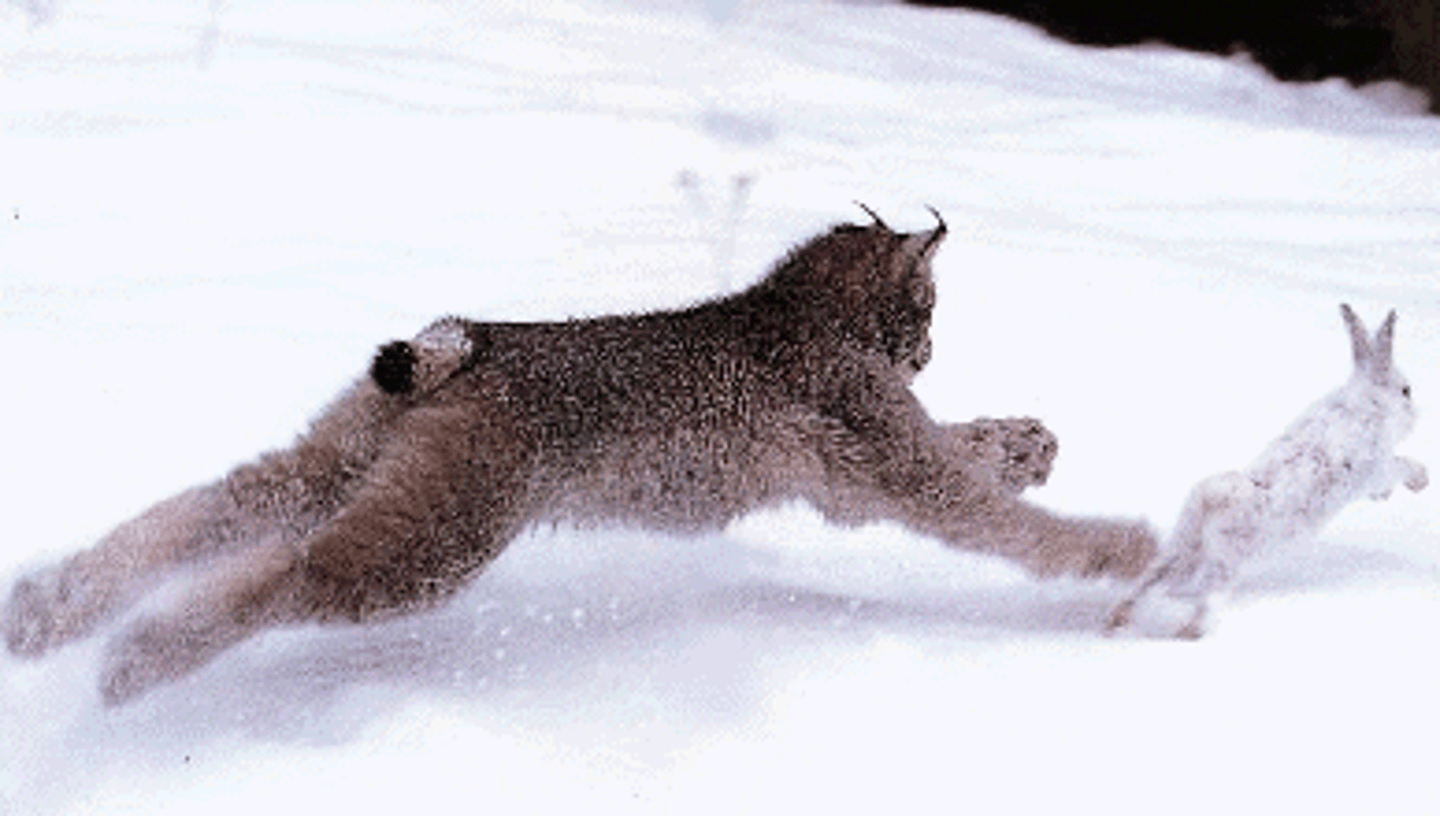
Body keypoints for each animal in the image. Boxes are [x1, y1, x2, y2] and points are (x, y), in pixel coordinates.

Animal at [3, 208, 1158, 704]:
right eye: (927, 310)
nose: (927, 353)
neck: (800, 303)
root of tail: (476, 337)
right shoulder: (890, 465)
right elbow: (1001, 520)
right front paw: (1122, 551)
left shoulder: (863, 469)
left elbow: (970, 451)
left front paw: (1030, 441)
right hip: (445, 534)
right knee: (294, 572)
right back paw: (134, 659)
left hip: (342, 461)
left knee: (213, 508)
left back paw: (46, 612)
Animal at [1107, 304, 1427, 639]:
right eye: (1406, 390)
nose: (1416, 416)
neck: (1371, 401)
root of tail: (1210, 500)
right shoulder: (1377, 465)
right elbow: (1400, 465)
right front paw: (1422, 480)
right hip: (1225, 562)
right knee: (1206, 599)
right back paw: (1191, 633)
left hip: (1184, 548)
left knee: (1149, 580)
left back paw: (1116, 621)